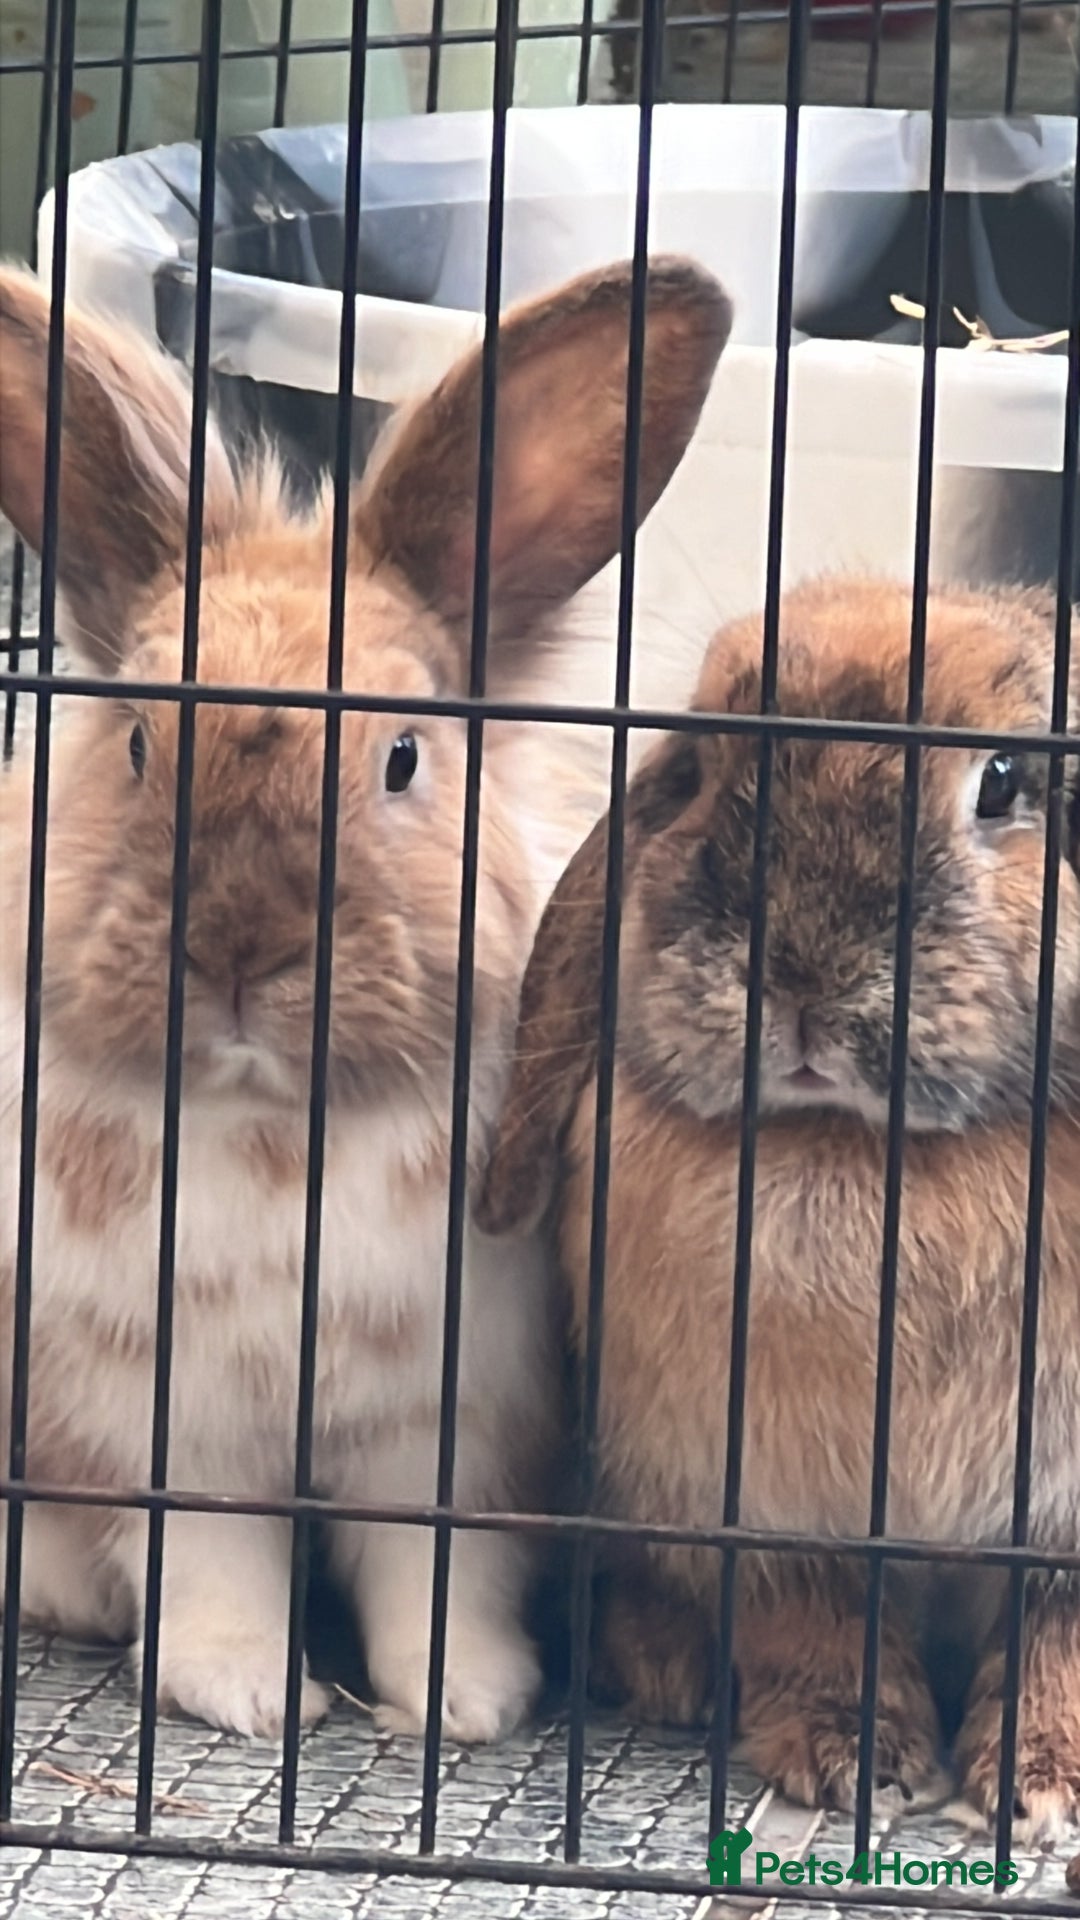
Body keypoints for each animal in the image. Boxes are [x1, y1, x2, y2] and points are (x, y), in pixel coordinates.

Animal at [0, 254, 732, 1742]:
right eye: (139, 741)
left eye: (402, 758)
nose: (241, 946)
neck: (275, 1126)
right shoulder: (166, 1418)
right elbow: (211, 1558)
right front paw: (249, 1701)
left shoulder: (450, 1428)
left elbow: (434, 1570)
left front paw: (470, 1705)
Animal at [478, 574, 1080, 1834]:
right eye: (710, 772)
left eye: (1004, 781)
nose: (803, 971)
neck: (871, 1151)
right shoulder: (764, 1494)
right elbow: (817, 1621)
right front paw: (853, 1763)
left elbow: (1058, 1632)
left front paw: (1042, 1788)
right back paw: (665, 1669)